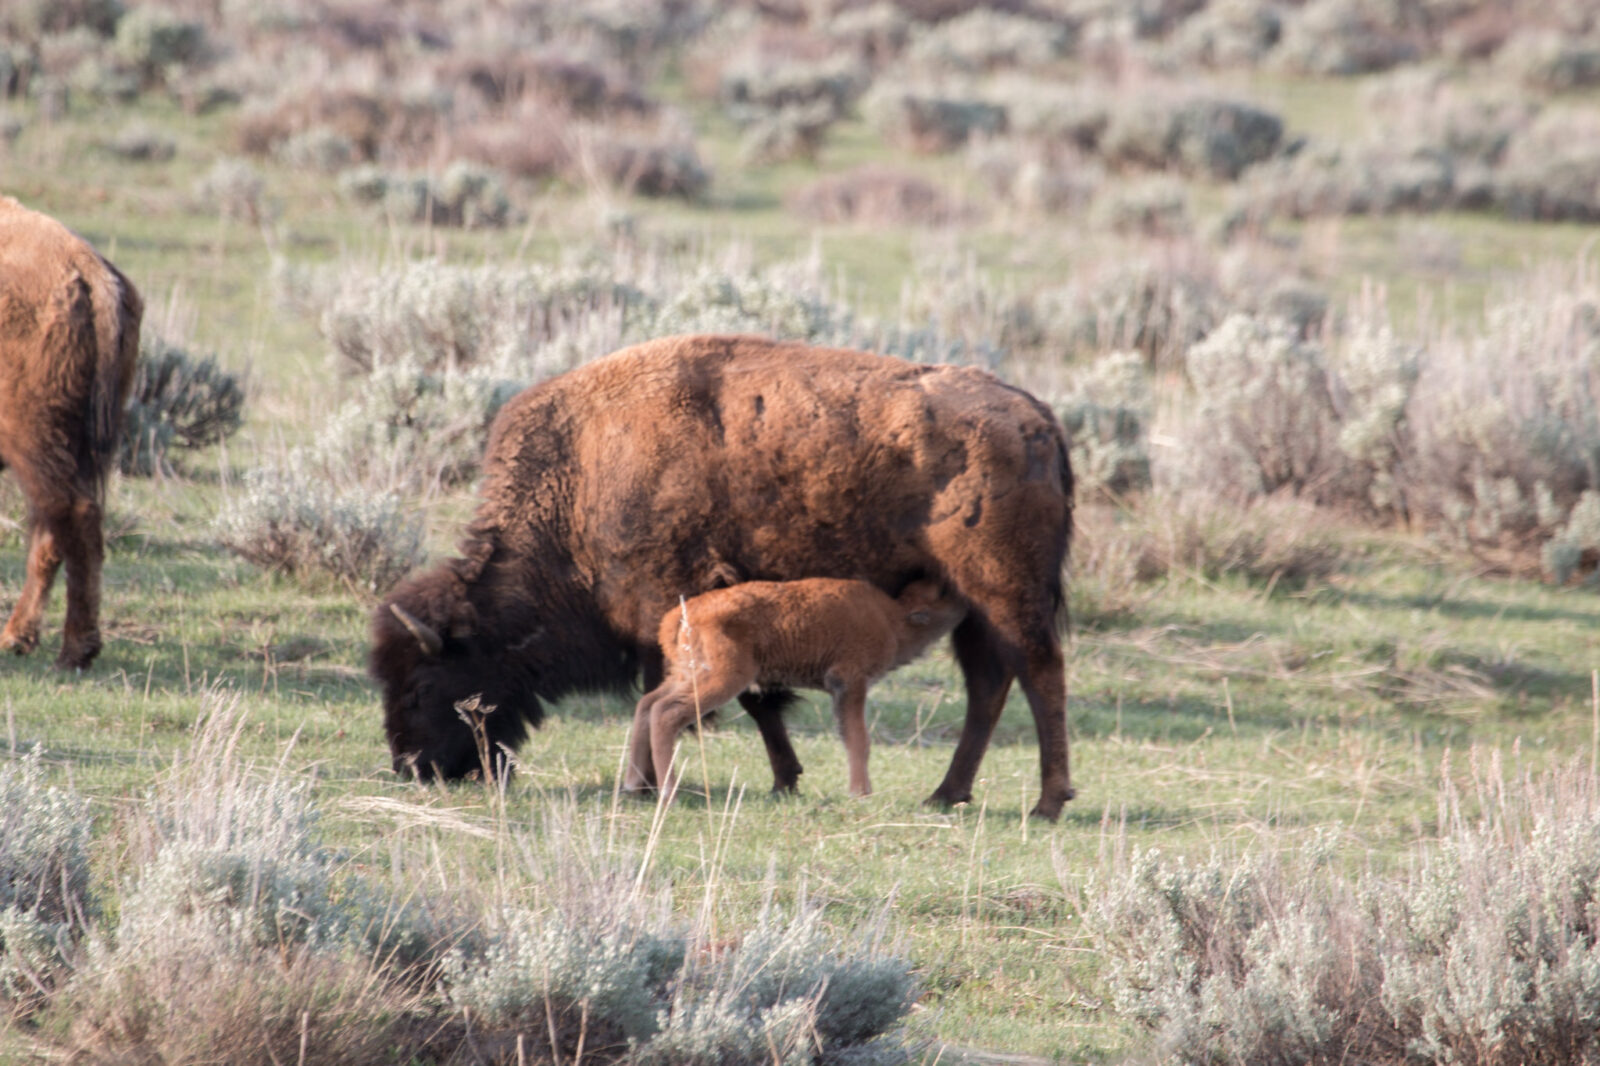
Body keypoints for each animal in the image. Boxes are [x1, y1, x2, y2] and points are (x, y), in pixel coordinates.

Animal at [0, 195, 142, 669]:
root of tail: (84, 264)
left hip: (31, 435)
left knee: (72, 516)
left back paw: (75, 649)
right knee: (55, 527)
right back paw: (20, 638)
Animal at [633, 576, 960, 800]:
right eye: (942, 593)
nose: (958, 590)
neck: (893, 616)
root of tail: (678, 615)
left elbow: (849, 736)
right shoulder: (850, 682)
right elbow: (859, 739)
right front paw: (861, 792)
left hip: (683, 675)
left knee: (647, 704)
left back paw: (632, 783)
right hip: (721, 680)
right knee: (665, 712)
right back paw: (669, 793)